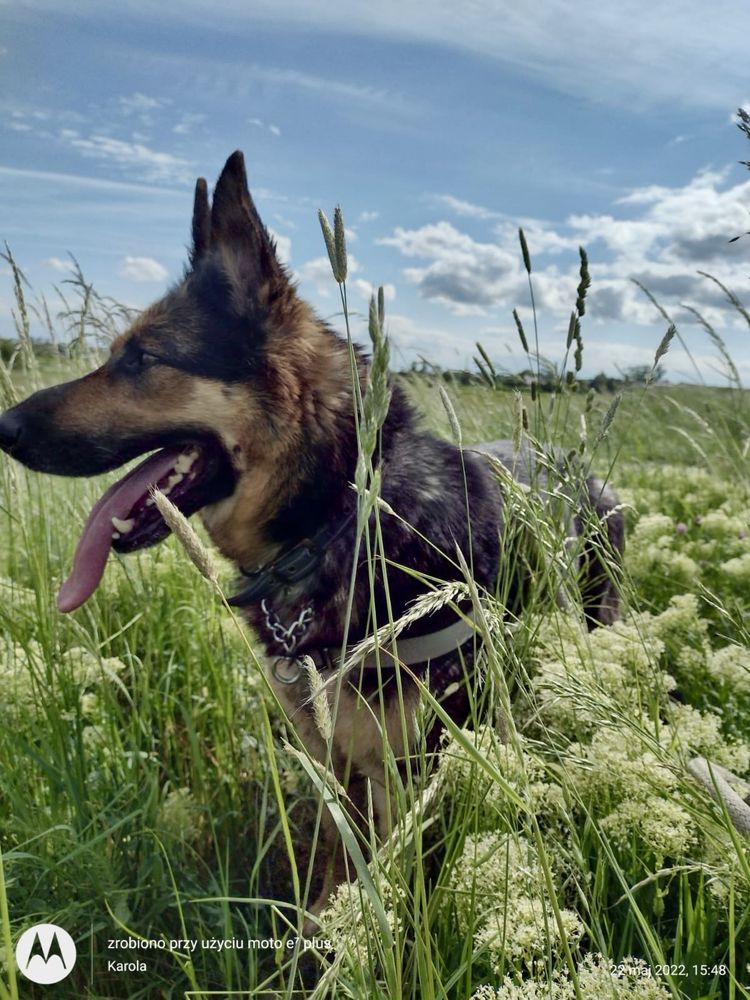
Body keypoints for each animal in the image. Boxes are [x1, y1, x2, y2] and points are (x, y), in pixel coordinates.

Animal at [0, 150, 624, 928]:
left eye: (141, 359)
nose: (4, 427)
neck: (339, 515)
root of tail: (577, 468)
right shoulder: (330, 757)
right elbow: (335, 863)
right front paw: (321, 932)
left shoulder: (409, 773)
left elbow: (400, 887)